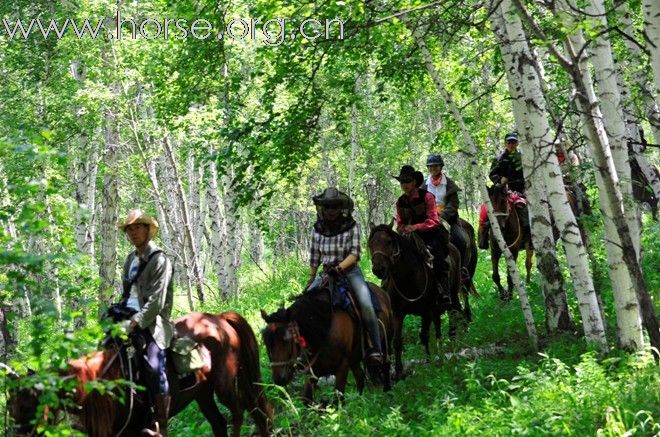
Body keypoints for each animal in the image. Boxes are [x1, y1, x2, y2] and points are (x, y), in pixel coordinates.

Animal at [8, 310, 270, 436]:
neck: (103, 383)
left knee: (240, 411)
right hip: (203, 393)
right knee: (225, 421)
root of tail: (219, 319)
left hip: (224, 385)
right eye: (10, 408)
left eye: (27, 406)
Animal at [260, 280, 394, 406]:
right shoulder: (312, 372)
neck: (324, 328)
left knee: (386, 364)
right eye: (266, 343)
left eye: (286, 340)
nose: (278, 379)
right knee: (360, 378)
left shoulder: (342, 366)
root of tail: (382, 292)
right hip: (354, 359)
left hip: (386, 341)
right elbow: (307, 400)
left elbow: (337, 399)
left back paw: (387, 391)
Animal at [366, 221, 464, 378]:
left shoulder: (426, 311)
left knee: (454, 313)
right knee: (438, 326)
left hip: (452, 294)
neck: (409, 279)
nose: (378, 269)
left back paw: (453, 342)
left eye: (388, 242)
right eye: (371, 244)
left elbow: (424, 336)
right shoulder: (398, 314)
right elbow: (397, 342)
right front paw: (399, 371)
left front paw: (429, 363)